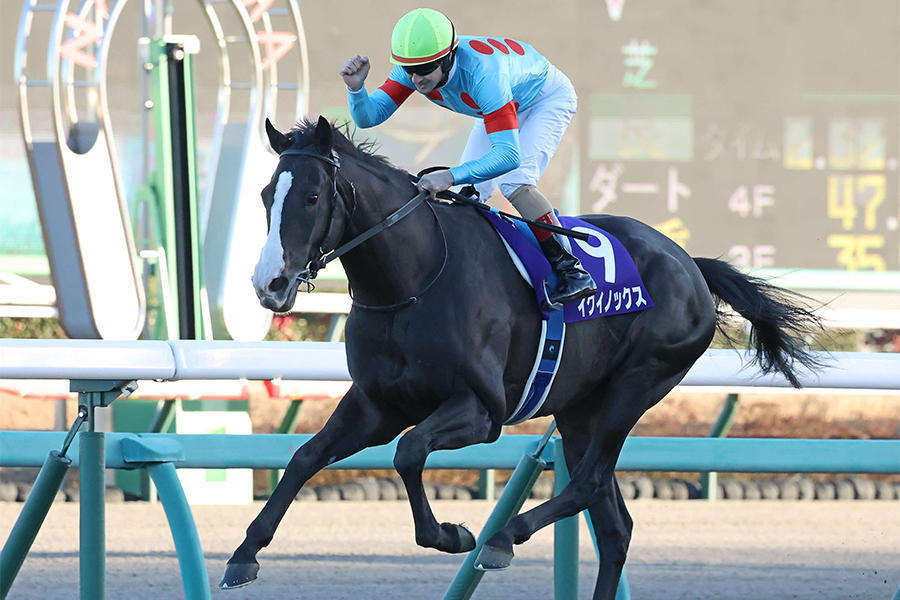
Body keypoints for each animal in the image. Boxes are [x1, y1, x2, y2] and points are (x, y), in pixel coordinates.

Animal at [221, 115, 822, 599]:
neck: (414, 279)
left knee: (588, 483)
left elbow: (409, 453)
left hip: (636, 385)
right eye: (265, 195)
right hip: (580, 409)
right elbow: (305, 457)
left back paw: (503, 538)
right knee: (614, 524)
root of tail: (689, 262)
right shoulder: (378, 404)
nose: (269, 285)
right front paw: (243, 555)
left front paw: (454, 534)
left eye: (312, 198)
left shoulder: (481, 410)